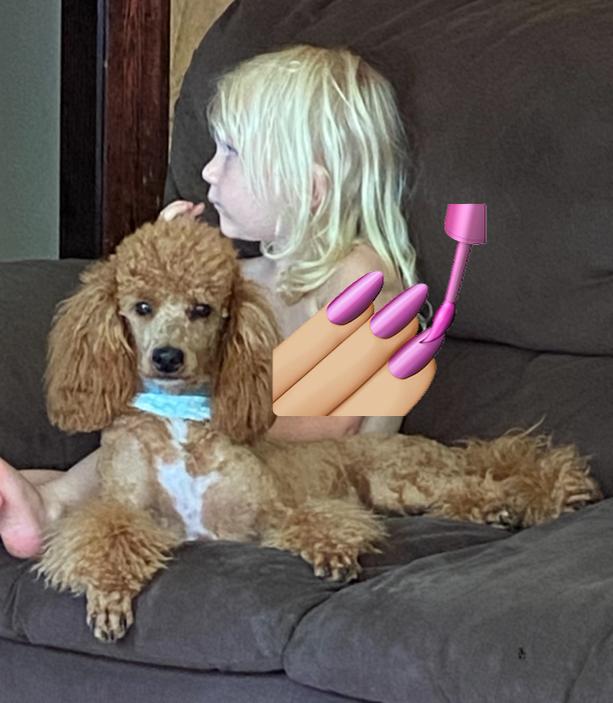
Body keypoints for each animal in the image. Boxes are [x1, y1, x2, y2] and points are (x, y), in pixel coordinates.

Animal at [36, 218, 602, 642]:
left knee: (494, 481)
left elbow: (312, 521)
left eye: (203, 309)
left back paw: (538, 499)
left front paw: (333, 555)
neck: (179, 422)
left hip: (405, 479)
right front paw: (109, 596)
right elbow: (107, 537)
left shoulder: (269, 512)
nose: (167, 357)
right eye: (142, 307)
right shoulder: (126, 511)